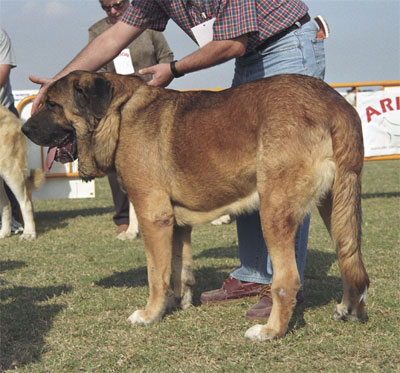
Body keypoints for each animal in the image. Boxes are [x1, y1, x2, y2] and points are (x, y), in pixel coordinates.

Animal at [23, 70, 370, 340]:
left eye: (52, 105)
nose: (24, 129)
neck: (118, 114)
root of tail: (336, 104)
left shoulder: (153, 216)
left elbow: (156, 275)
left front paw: (150, 314)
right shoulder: (176, 222)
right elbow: (179, 268)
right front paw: (179, 302)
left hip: (274, 210)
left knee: (287, 281)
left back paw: (270, 331)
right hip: (337, 204)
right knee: (350, 259)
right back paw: (349, 309)